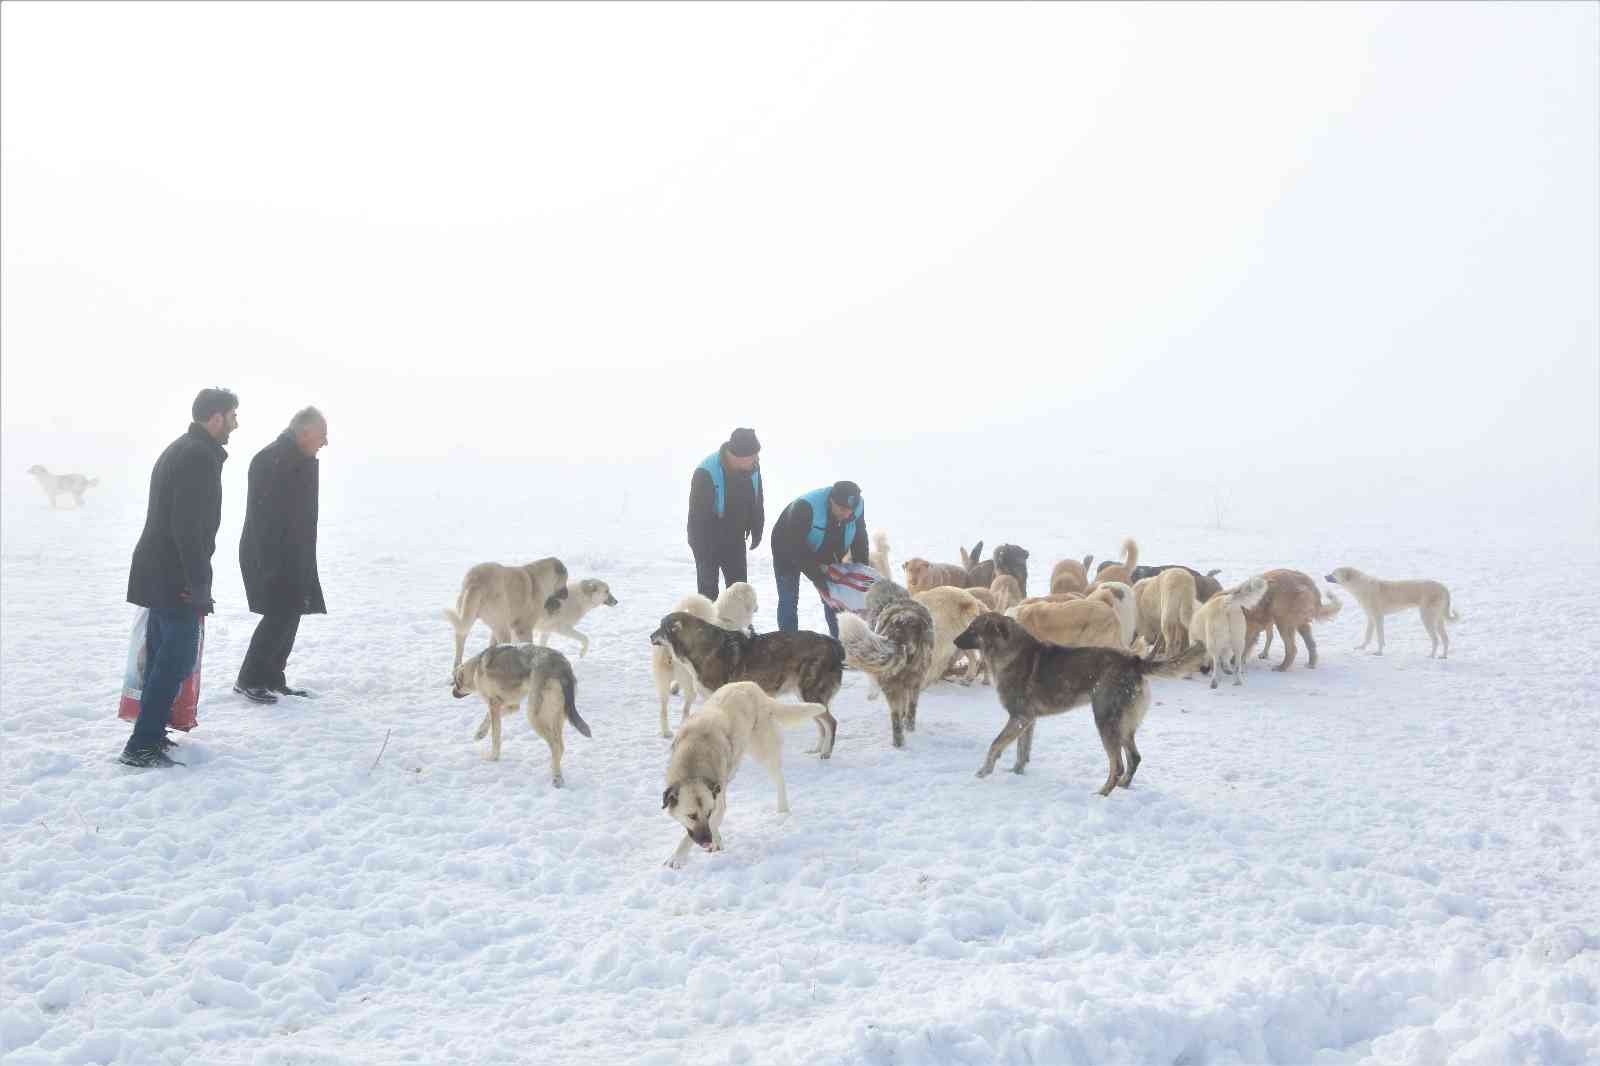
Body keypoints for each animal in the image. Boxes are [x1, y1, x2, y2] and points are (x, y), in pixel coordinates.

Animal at [451, 640, 595, 781]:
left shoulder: (494, 704)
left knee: (556, 745)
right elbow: (488, 719)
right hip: (556, 716)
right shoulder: (511, 706)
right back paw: (553, 768)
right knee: (560, 746)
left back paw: (557, 778)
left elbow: (495, 736)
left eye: (456, 683)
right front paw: (480, 733)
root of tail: (562, 667)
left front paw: (493, 757)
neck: (476, 667)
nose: (452, 694)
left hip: (534, 716)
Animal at [649, 582, 761, 739]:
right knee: (685, 709)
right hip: (690, 685)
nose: (758, 607)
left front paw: (675, 688)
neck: (725, 619)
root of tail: (667, 649)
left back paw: (666, 732)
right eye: (754, 596)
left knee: (663, 708)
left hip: (663, 681)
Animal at [649, 605, 851, 755]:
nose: (650, 636)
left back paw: (825, 753)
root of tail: (833, 643)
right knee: (822, 724)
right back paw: (816, 750)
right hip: (807, 698)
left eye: (661, 627)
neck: (701, 647)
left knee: (831, 723)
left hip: (809, 693)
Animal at [656, 681, 825, 864]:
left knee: (779, 778)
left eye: (708, 813)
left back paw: (782, 809)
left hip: (763, 752)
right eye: (691, 816)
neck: (693, 763)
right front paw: (716, 841)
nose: (707, 840)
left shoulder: (717, 803)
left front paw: (678, 857)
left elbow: (690, 837)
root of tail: (754, 688)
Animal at [1324, 563, 1465, 656]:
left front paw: (1379, 652)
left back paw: (1431, 655)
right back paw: (1443, 656)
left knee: (1436, 640)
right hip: (1438, 620)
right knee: (1445, 639)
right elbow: (1368, 636)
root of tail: (1444, 588)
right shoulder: (1370, 618)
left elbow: (1379, 637)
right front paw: (1361, 647)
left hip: (1427, 618)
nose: (1325, 575)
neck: (1359, 586)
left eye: (1334, 573)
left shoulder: (1378, 617)